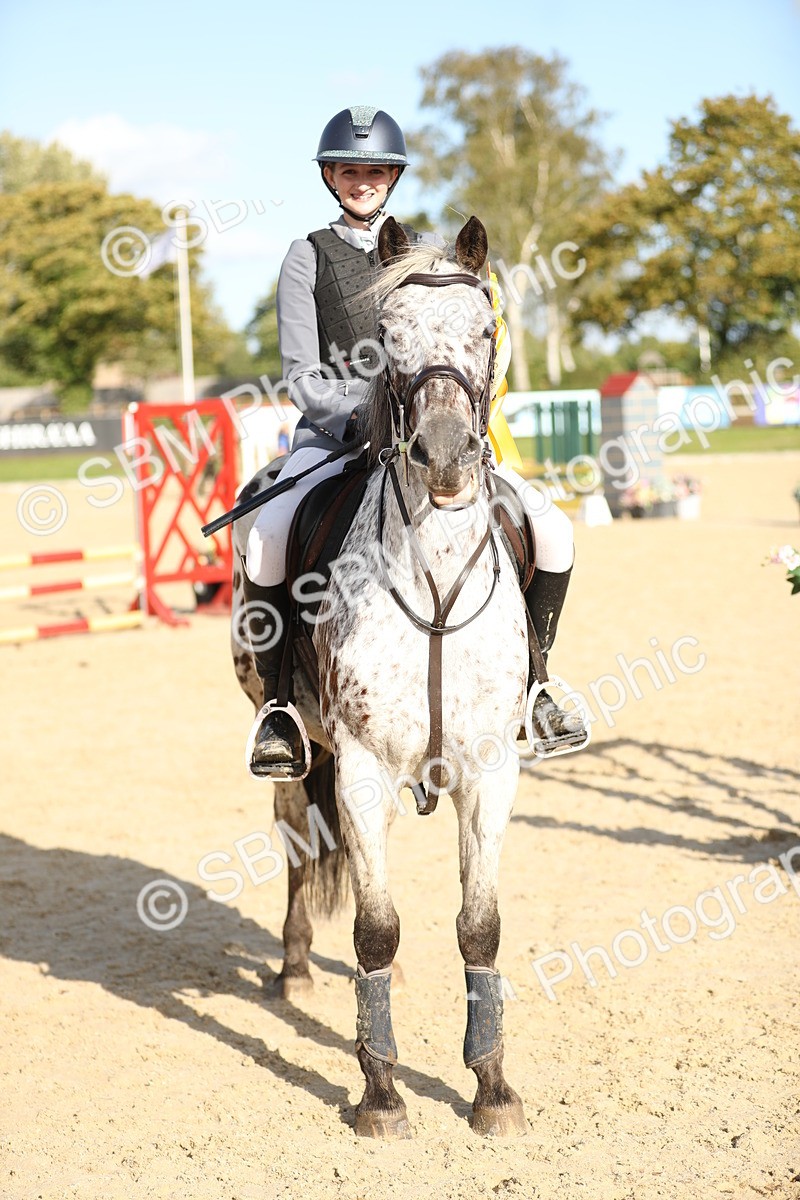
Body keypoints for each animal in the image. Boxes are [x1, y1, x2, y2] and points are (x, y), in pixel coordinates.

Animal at [230, 216, 530, 1139]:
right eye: (387, 339)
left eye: (485, 330)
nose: (445, 456)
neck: (431, 582)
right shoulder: (360, 765)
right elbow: (374, 928)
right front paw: (380, 1094)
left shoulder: (489, 771)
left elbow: (480, 927)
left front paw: (492, 1088)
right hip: (301, 742)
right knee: (297, 834)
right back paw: (294, 969)